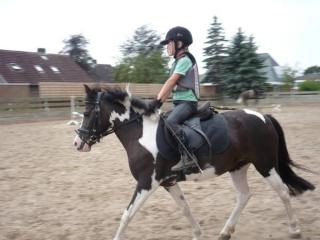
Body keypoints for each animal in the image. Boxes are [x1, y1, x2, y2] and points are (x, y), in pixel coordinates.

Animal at [73, 86, 316, 240]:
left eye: (87, 112)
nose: (77, 143)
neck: (141, 134)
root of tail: (263, 117)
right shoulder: (168, 182)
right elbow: (185, 208)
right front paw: (197, 234)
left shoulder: (147, 182)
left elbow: (127, 215)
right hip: (238, 167)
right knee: (244, 196)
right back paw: (225, 232)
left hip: (265, 165)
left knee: (283, 191)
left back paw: (295, 230)